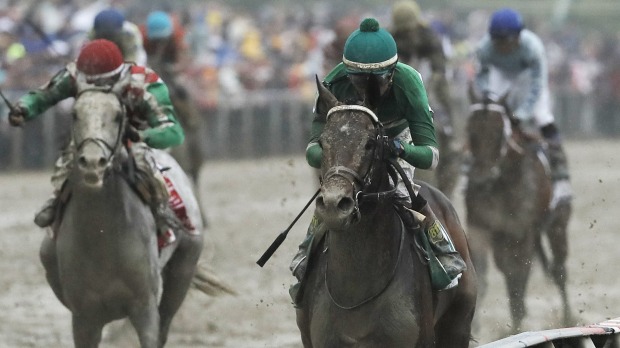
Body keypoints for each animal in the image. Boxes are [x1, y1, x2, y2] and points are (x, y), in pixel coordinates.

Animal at [38, 88, 206, 346]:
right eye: (75, 114)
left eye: (118, 116)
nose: (93, 162)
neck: (102, 237)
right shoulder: (84, 317)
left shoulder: (144, 307)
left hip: (184, 268)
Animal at [464, 87, 572, 334]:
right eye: (471, 131)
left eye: (498, 133)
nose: (480, 179)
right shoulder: (479, 228)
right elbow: (483, 274)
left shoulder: (522, 231)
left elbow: (518, 277)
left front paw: (516, 325)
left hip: (557, 224)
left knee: (559, 270)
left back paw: (567, 318)